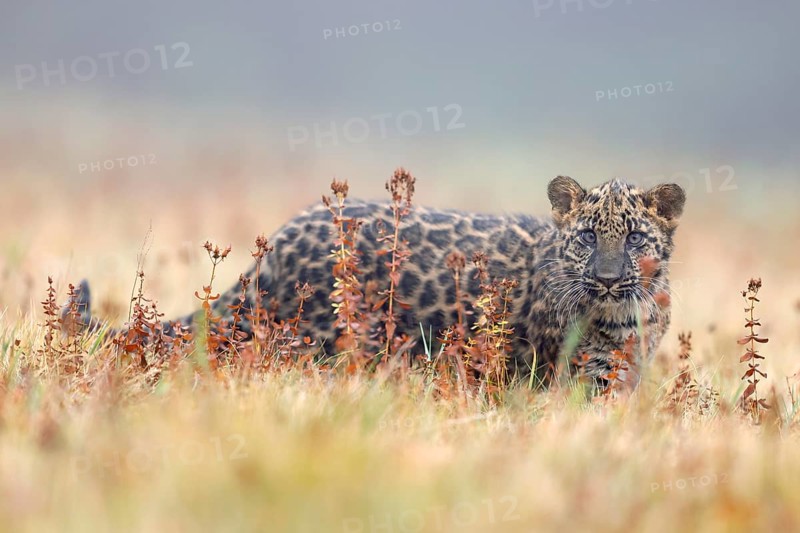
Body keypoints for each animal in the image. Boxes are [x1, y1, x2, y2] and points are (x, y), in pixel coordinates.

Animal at [64, 175, 685, 384]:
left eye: (635, 238)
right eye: (588, 238)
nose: (607, 278)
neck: (629, 316)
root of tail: (280, 241)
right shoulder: (585, 379)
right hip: (314, 343)